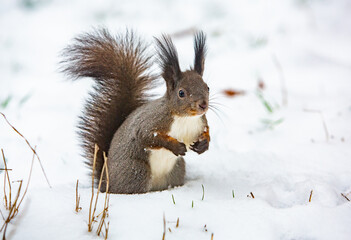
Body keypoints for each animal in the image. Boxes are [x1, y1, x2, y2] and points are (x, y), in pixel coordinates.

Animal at [60, 28, 210, 193]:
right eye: (181, 93)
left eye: (207, 87)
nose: (203, 105)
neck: (185, 118)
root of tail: (106, 183)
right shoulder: (151, 122)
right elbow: (147, 137)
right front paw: (175, 146)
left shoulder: (201, 123)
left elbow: (207, 133)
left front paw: (203, 145)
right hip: (137, 171)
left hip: (177, 168)